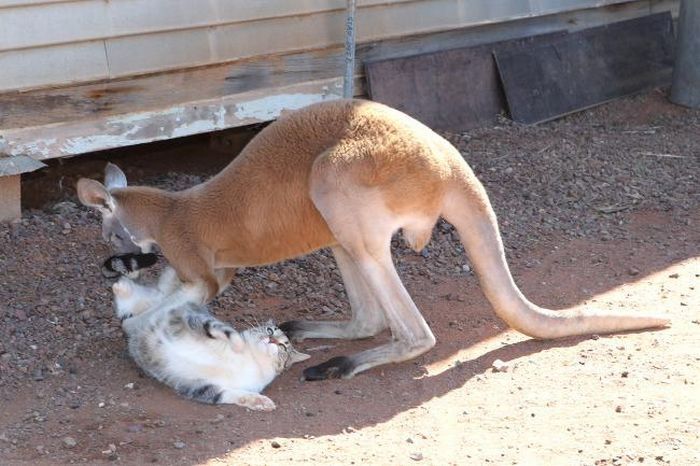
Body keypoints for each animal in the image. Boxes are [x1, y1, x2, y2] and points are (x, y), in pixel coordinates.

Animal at [112, 268, 308, 410]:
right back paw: (122, 285)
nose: (271, 339)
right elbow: (220, 328)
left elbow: (228, 394)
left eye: (283, 346)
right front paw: (238, 343)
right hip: (175, 305)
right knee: (140, 302)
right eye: (269, 329)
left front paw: (260, 402)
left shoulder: (201, 386)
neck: (252, 359)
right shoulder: (195, 319)